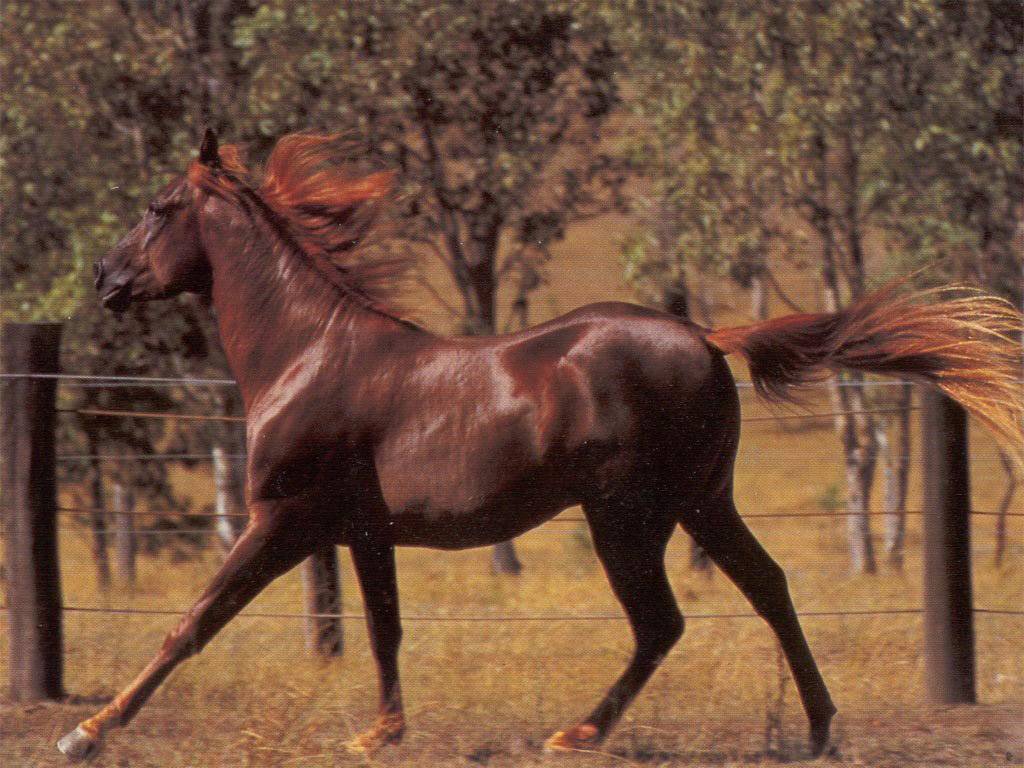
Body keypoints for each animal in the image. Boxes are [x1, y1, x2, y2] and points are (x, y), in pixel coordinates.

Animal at [60, 129, 1023, 762]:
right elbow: (383, 629)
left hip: (627, 517)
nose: (104, 278)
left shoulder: (282, 520)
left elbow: (193, 622)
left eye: (157, 208)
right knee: (767, 588)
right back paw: (820, 729)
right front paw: (381, 732)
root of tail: (706, 337)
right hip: (702, 504)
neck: (306, 353)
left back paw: (580, 732)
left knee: (662, 621)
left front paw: (88, 731)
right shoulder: (363, 532)